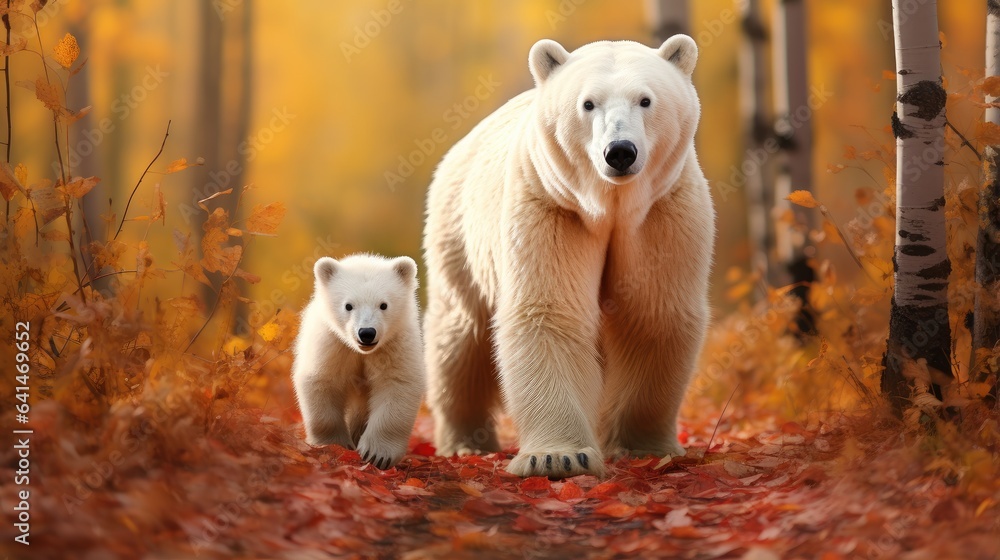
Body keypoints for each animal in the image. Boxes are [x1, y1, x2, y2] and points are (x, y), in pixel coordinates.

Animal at [292, 253, 425, 469]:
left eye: (383, 304)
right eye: (348, 305)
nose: (367, 333)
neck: (362, 351)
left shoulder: (395, 344)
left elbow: (397, 383)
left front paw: (377, 454)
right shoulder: (333, 343)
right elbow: (322, 380)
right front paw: (334, 444)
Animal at [422, 35, 714, 478]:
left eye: (646, 100)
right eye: (588, 103)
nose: (620, 152)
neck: (610, 208)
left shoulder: (661, 213)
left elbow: (652, 311)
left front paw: (641, 446)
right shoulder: (552, 206)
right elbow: (549, 312)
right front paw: (557, 456)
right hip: (458, 232)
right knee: (459, 337)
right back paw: (465, 441)